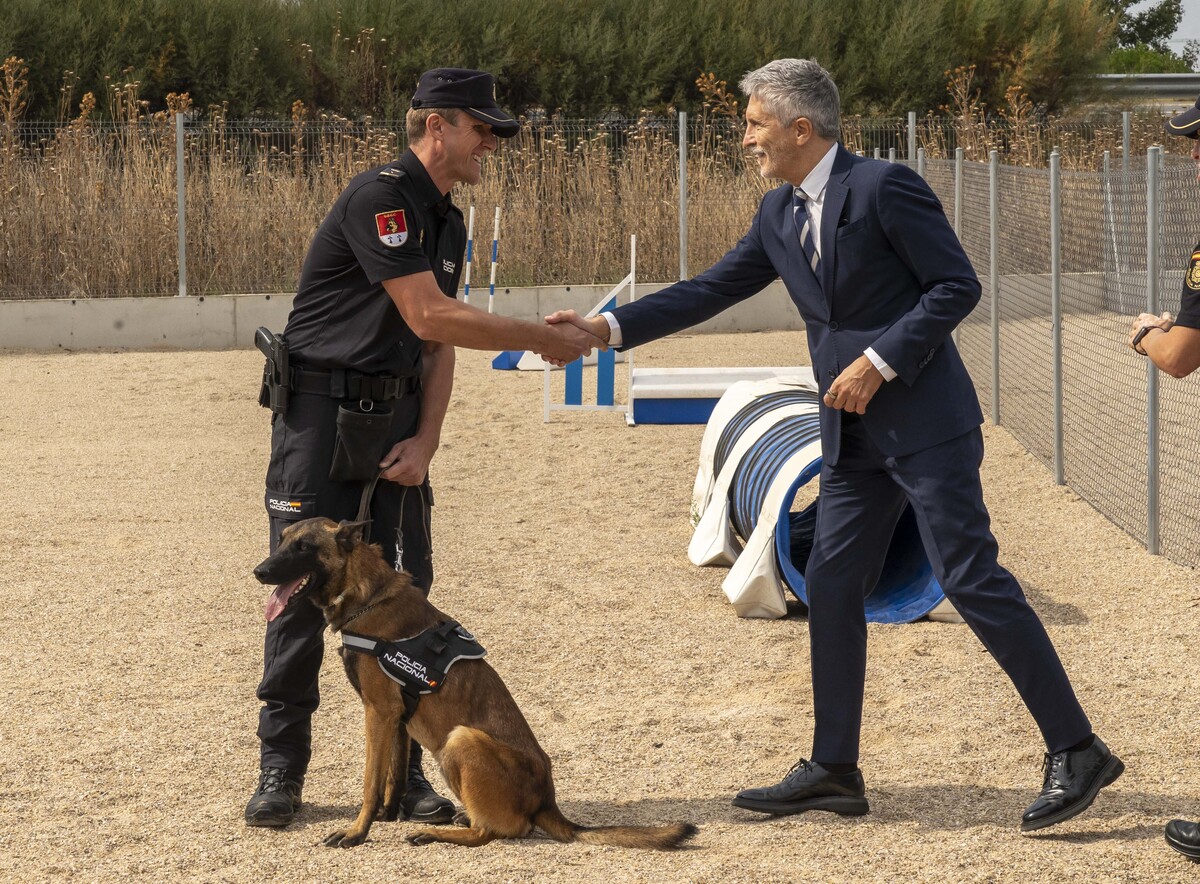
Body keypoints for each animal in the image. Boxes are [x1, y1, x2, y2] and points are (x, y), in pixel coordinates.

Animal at [258, 518, 700, 849]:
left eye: (303, 547)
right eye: (282, 541)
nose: (259, 571)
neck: (368, 596)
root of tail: (547, 800)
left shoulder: (378, 713)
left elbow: (370, 781)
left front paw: (356, 832)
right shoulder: (396, 719)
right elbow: (393, 776)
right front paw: (386, 815)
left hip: (460, 740)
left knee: (495, 832)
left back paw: (437, 833)